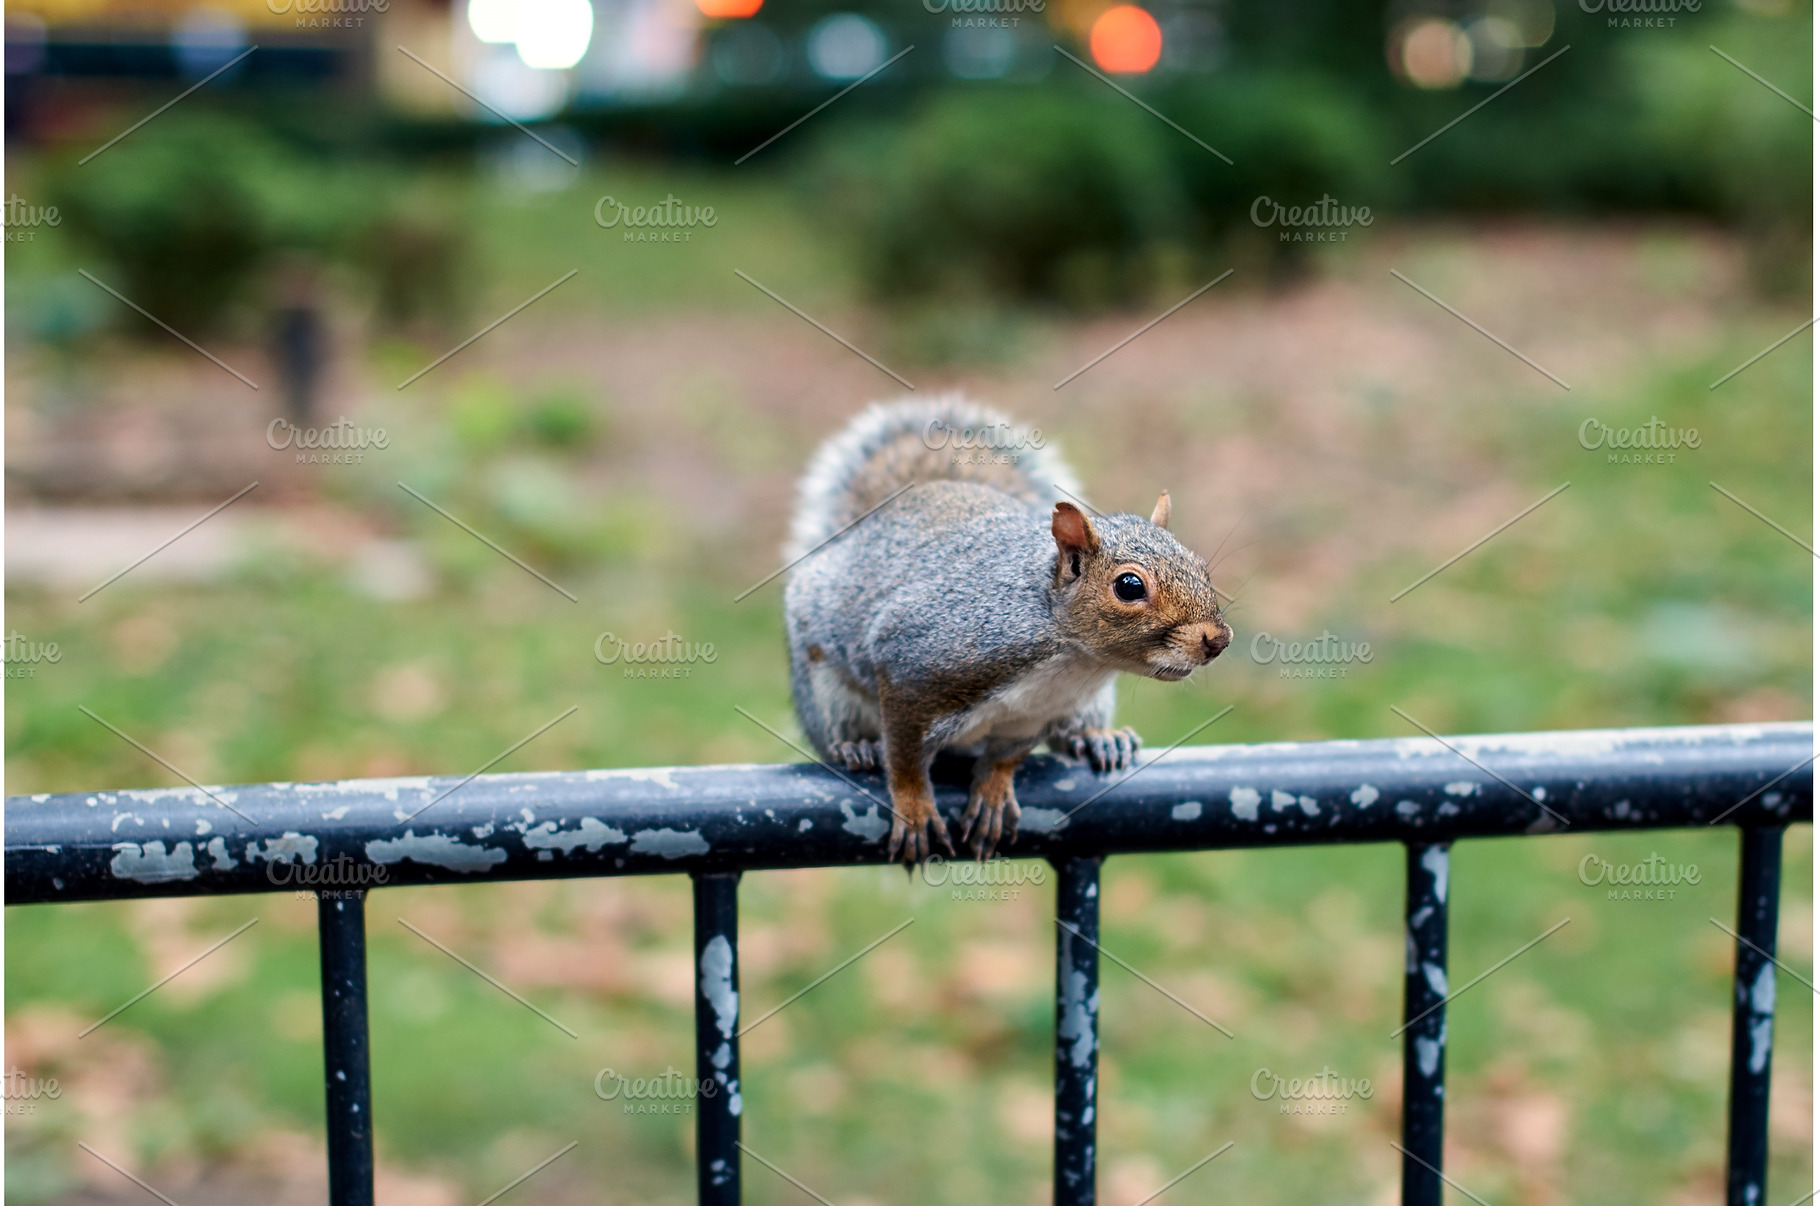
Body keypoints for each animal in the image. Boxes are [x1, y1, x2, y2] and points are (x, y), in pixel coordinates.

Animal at [783, 397, 1232, 865]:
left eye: (1201, 566)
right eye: (1129, 586)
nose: (1218, 640)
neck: (1072, 658)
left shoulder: (1031, 718)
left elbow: (1004, 760)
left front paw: (993, 796)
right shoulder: (911, 665)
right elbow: (905, 758)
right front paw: (913, 808)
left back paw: (1098, 738)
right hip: (824, 686)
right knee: (837, 727)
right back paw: (856, 746)